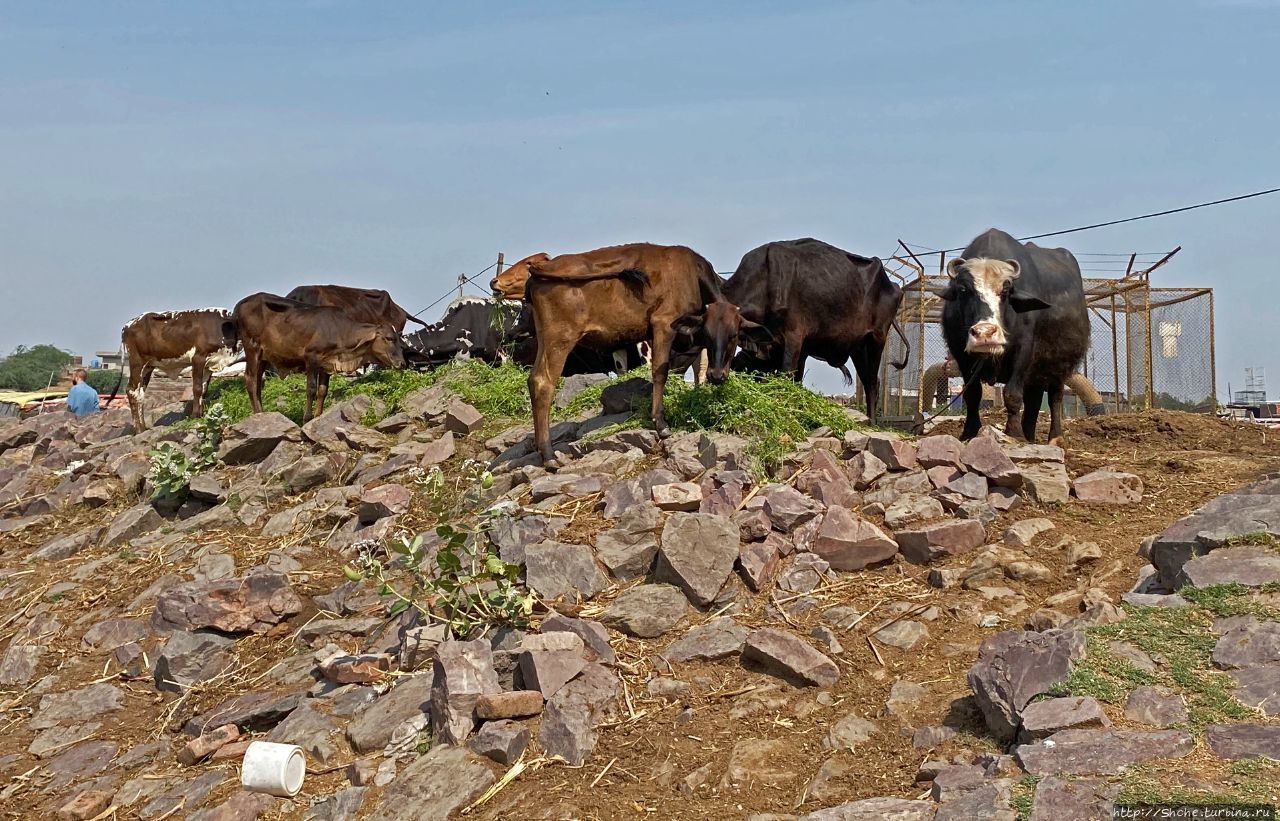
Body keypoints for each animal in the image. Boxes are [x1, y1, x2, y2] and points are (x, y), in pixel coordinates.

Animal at [234, 293, 404, 422]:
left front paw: (317, 416)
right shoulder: (311, 358)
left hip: (263, 357)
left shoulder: (326, 365)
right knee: (250, 379)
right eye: (389, 338)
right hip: (252, 348)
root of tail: (242, 303)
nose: (402, 363)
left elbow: (323, 391)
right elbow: (311, 389)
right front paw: (307, 418)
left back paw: (261, 412)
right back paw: (258, 413)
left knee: (257, 382)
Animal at [524, 240, 762, 463]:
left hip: (546, 338)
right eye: (708, 334)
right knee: (544, 383)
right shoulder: (663, 323)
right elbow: (660, 372)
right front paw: (661, 423)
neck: (693, 273)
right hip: (561, 338)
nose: (717, 376)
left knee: (534, 380)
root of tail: (540, 270)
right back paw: (548, 455)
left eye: (733, 335)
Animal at [721, 236, 911, 422]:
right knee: (869, 380)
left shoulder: (793, 336)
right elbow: (797, 379)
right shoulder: (801, 347)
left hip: (877, 338)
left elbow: (787, 374)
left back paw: (872, 423)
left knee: (871, 383)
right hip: (859, 347)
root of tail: (894, 285)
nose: (733, 367)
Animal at [936, 227, 1085, 445]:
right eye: (963, 290)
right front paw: (969, 431)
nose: (985, 333)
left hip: (1059, 365)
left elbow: (1013, 394)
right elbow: (972, 394)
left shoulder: (1024, 349)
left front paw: (1014, 433)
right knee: (1033, 399)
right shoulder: (961, 353)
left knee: (1055, 397)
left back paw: (1055, 437)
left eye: (1005, 291)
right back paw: (1029, 436)